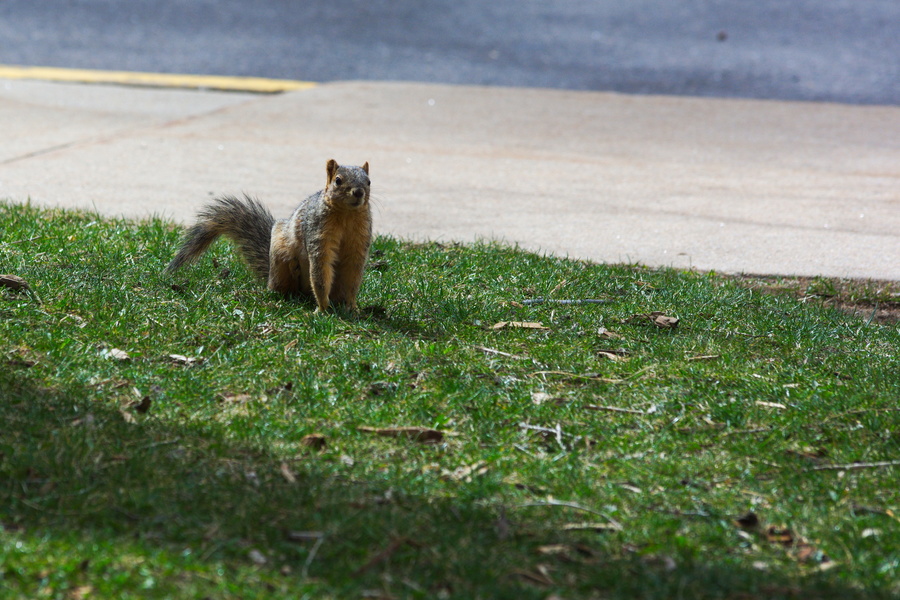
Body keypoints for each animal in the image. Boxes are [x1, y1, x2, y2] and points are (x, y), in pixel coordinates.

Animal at [167, 159, 372, 313]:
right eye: (338, 180)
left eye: (369, 181)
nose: (358, 192)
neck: (346, 215)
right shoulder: (317, 234)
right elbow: (320, 270)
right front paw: (322, 308)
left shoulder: (359, 240)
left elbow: (353, 275)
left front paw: (352, 306)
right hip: (280, 257)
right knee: (282, 285)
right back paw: (284, 294)